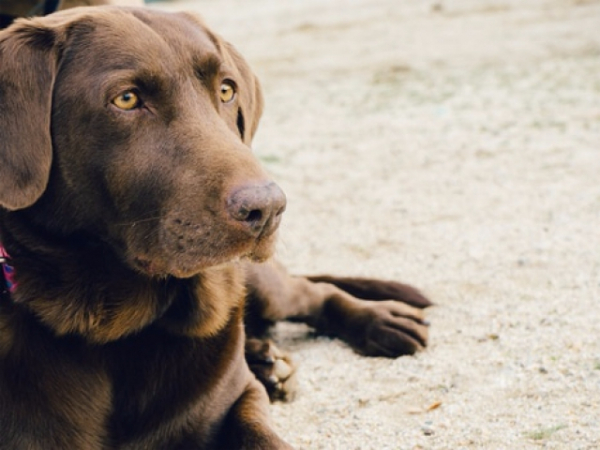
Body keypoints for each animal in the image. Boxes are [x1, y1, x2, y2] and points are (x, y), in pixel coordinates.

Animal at [0, 5, 432, 448]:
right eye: (126, 99)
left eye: (226, 91)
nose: (268, 208)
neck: (118, 330)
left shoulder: (237, 398)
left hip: (263, 284)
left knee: (313, 292)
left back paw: (379, 321)